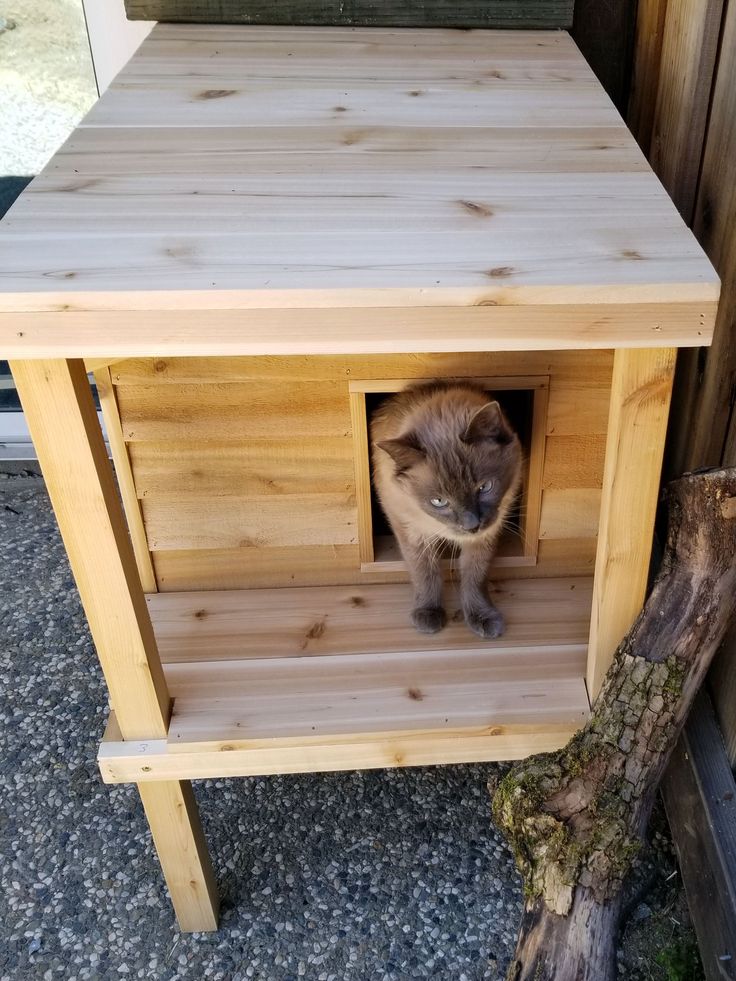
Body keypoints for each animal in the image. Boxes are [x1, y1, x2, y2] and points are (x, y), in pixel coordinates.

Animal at [374, 378, 524, 640]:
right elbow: (425, 572)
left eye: (484, 487)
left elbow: (475, 576)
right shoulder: (409, 529)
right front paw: (428, 613)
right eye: (439, 501)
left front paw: (482, 616)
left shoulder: (485, 536)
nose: (472, 525)